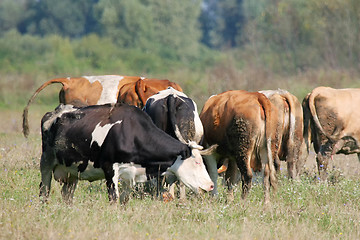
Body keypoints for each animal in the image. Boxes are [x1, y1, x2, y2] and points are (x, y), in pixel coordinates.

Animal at [39, 102, 214, 203]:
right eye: (197, 162)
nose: (211, 185)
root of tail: (54, 112)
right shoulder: (110, 169)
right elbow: (114, 200)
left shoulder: (130, 176)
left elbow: (124, 200)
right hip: (46, 163)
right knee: (44, 190)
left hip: (73, 172)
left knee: (67, 195)